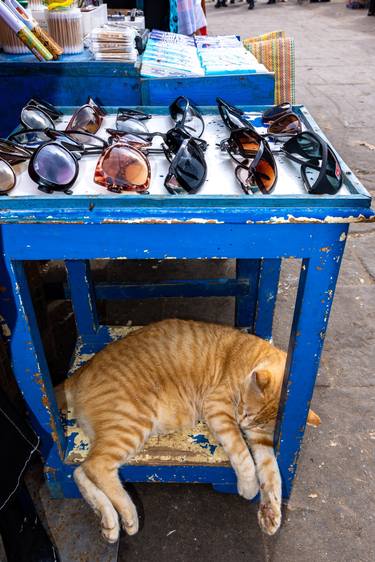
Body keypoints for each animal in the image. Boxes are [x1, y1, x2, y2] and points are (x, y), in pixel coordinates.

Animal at [58, 320, 320, 544]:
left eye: (256, 422)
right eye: (245, 411)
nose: (244, 424)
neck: (250, 358)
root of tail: (79, 372)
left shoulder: (261, 439)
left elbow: (271, 472)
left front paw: (270, 511)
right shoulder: (218, 409)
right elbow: (243, 455)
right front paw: (249, 486)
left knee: (81, 471)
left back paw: (109, 522)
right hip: (130, 427)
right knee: (96, 467)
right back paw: (129, 514)